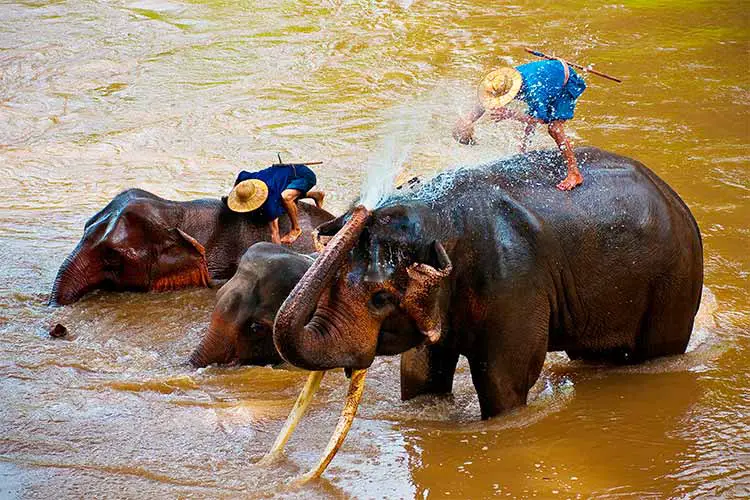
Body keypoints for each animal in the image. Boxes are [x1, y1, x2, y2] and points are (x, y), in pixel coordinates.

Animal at [266, 147, 704, 480]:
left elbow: (504, 379)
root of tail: (675, 198)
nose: (362, 211)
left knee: (658, 350)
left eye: (380, 298)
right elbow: (421, 373)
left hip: (675, 283)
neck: (440, 216)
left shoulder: (517, 283)